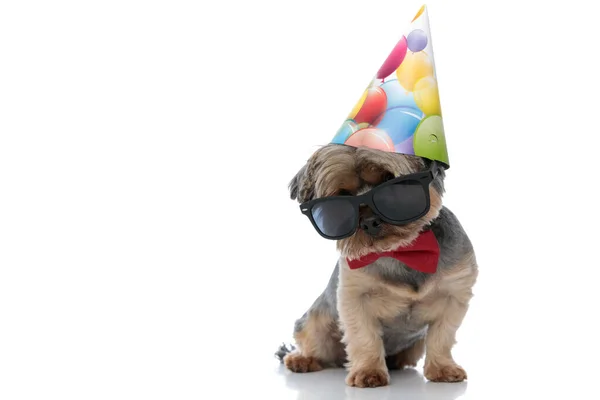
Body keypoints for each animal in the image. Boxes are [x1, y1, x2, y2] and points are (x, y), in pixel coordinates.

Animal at [276, 144, 478, 388]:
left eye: (391, 181)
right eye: (342, 196)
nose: (369, 222)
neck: (402, 251)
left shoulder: (454, 293)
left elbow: (442, 336)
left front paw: (442, 368)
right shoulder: (355, 295)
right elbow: (364, 336)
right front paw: (368, 371)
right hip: (316, 320)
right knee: (311, 340)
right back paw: (301, 359)